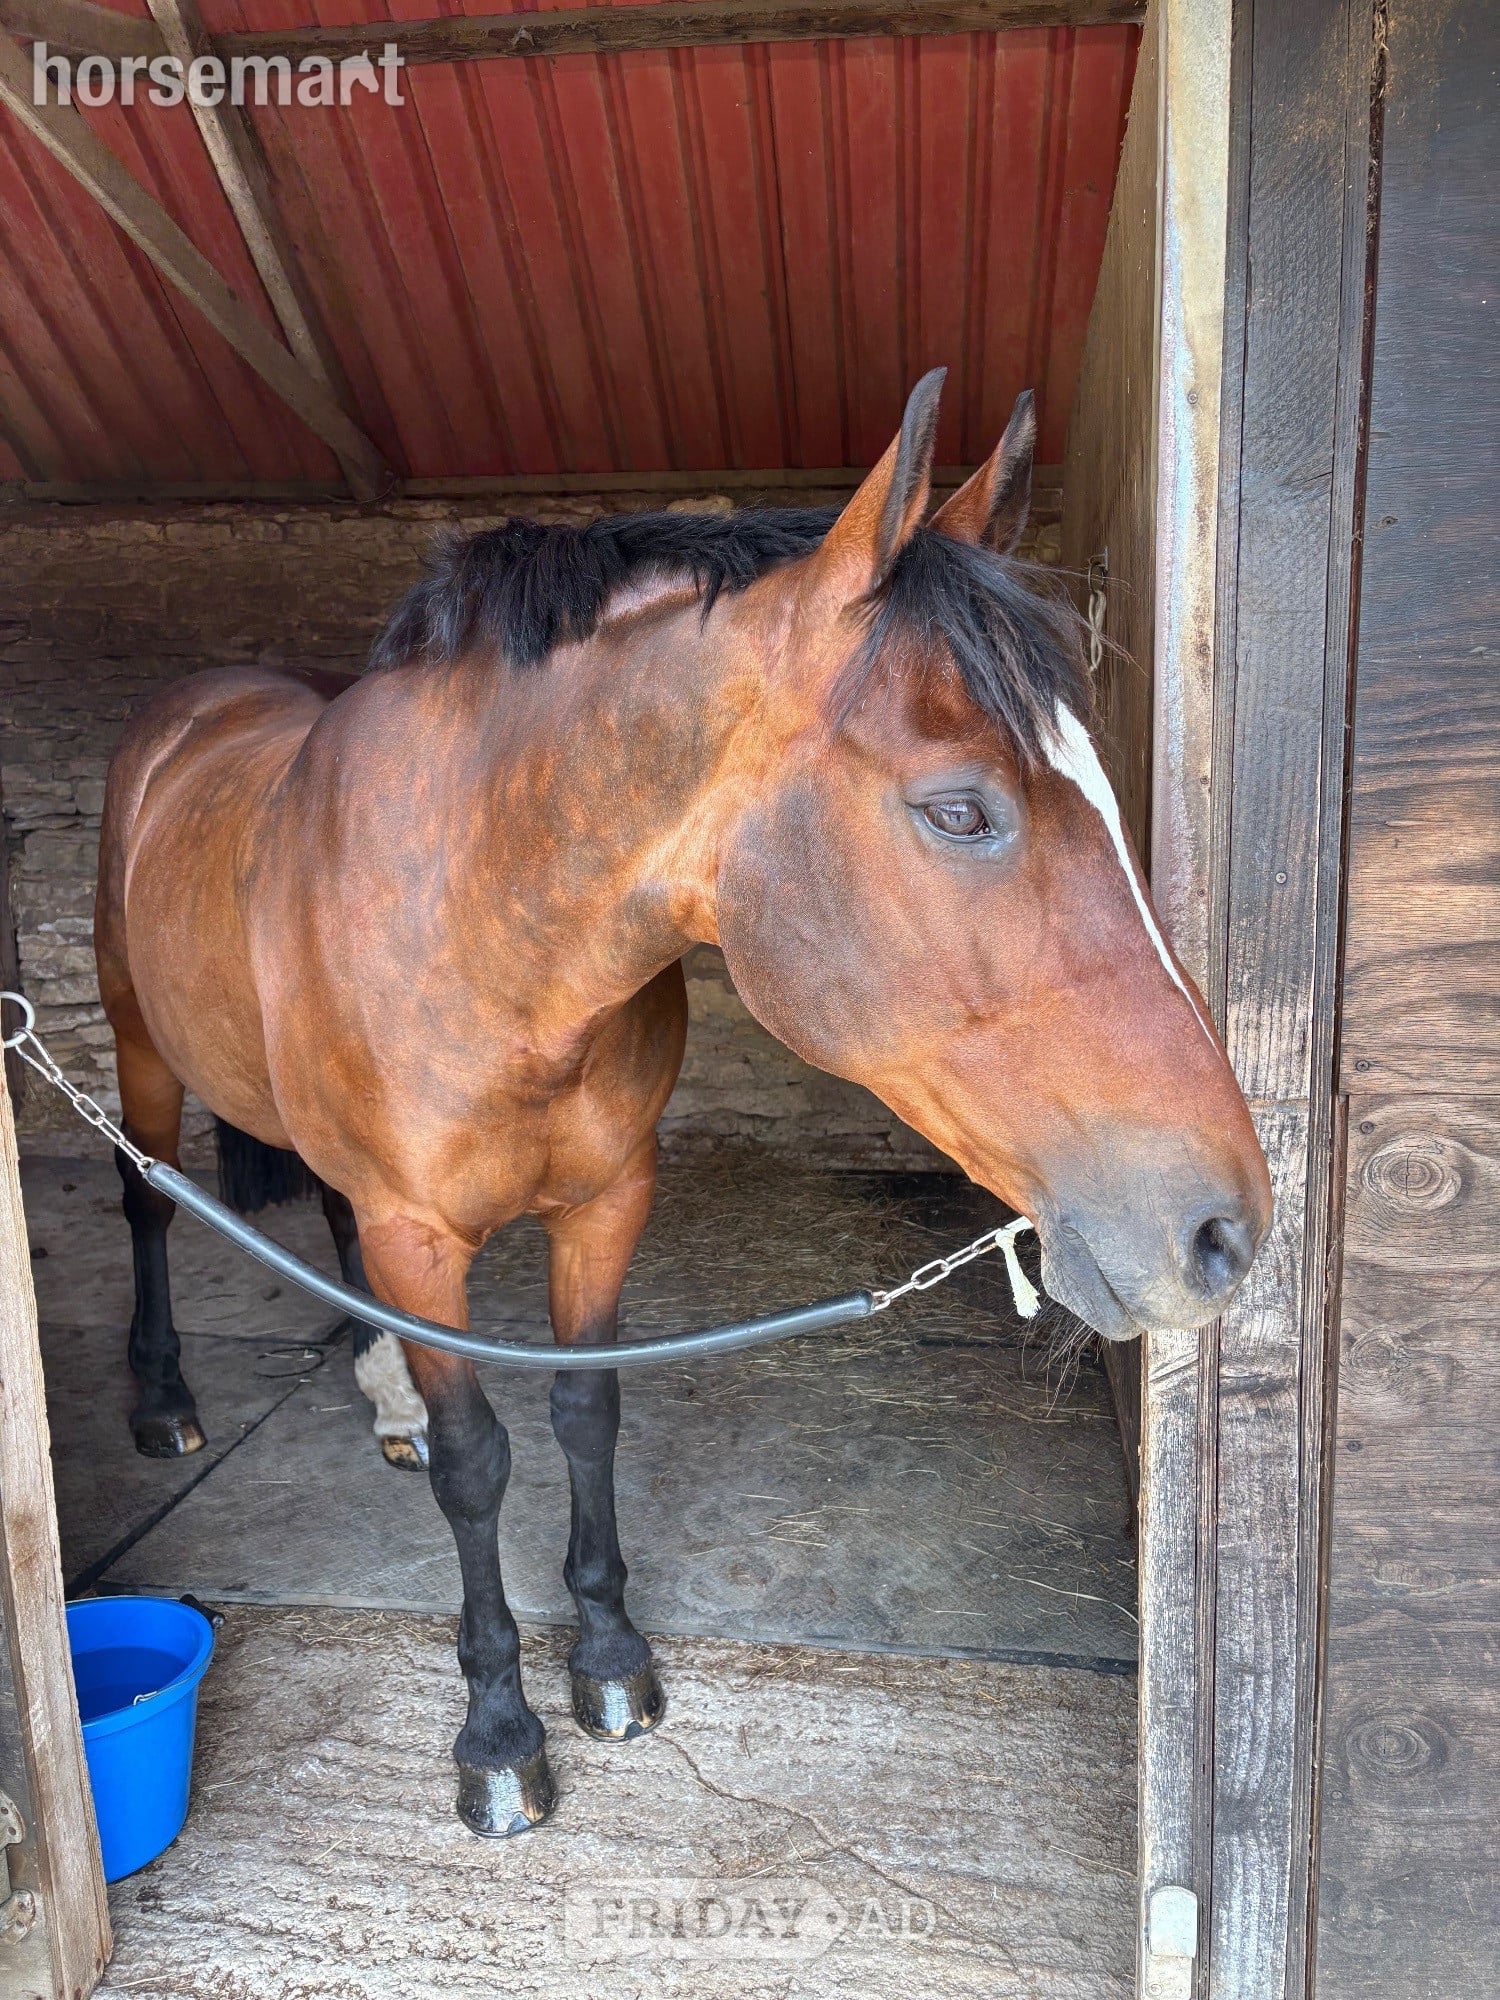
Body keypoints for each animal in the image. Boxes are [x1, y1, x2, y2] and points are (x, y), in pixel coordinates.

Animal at [94, 371, 1271, 1836]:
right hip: (140, 1053)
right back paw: (164, 1400)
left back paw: (382, 1398)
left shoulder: (608, 1197)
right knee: (148, 1203)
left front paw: (607, 1658)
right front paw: (500, 1735)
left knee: (325, 1210)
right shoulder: (424, 1236)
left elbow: (586, 1414)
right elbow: (483, 1462)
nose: (1225, 1230)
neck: (483, 912)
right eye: (959, 811)